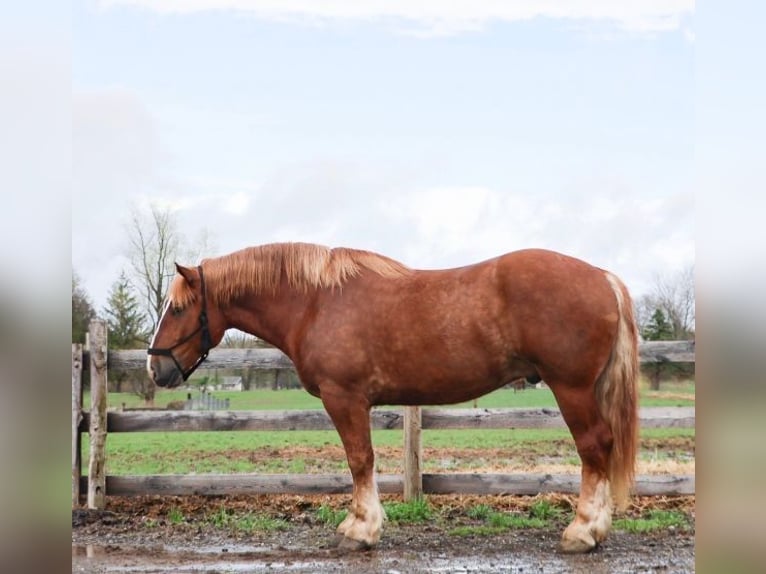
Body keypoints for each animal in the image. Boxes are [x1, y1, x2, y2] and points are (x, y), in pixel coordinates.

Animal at [147, 242, 639, 554]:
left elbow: (359, 460)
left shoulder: (344, 398)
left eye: (178, 309)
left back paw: (582, 533)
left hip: (571, 389)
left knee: (594, 448)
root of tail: (603, 278)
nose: (155, 368)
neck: (315, 302)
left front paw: (360, 530)